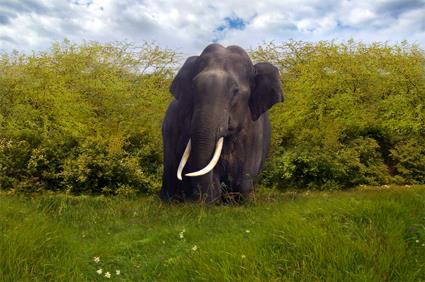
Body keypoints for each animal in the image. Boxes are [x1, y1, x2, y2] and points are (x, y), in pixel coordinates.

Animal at [159, 43, 282, 203]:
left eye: (235, 91)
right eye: (193, 88)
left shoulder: (255, 131)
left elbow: (247, 171)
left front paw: (241, 202)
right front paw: (211, 199)